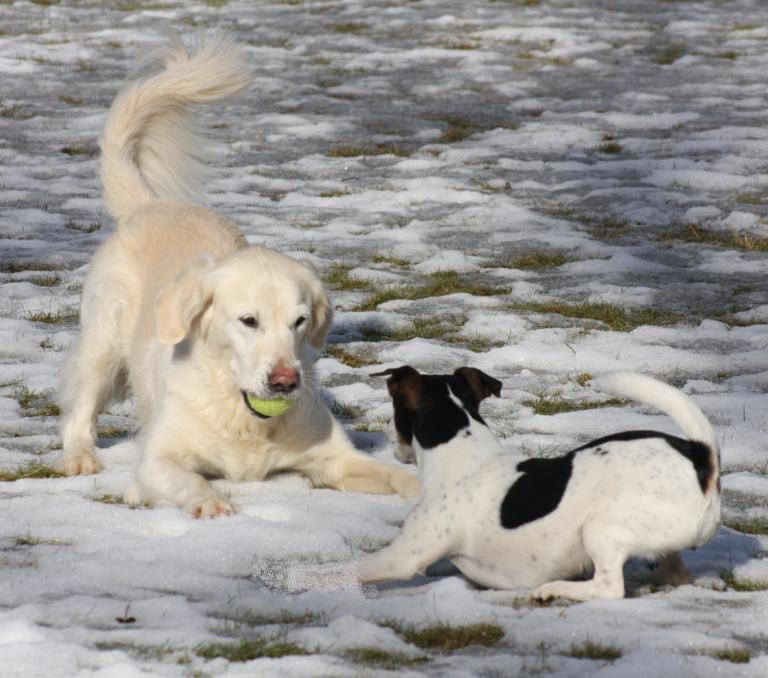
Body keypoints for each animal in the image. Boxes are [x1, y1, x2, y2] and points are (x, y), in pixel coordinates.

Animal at [58, 31, 420, 516]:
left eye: (299, 321)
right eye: (248, 321)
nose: (285, 381)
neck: (243, 413)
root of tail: (151, 204)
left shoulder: (335, 459)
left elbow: (398, 476)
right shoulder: (157, 462)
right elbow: (187, 479)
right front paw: (210, 504)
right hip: (103, 337)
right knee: (81, 407)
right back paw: (79, 456)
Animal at [360, 370, 720, 604]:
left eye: (394, 410)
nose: (388, 432)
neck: (464, 452)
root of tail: (702, 463)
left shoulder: (402, 558)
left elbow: (359, 568)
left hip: (601, 527)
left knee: (609, 587)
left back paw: (556, 590)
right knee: (677, 574)